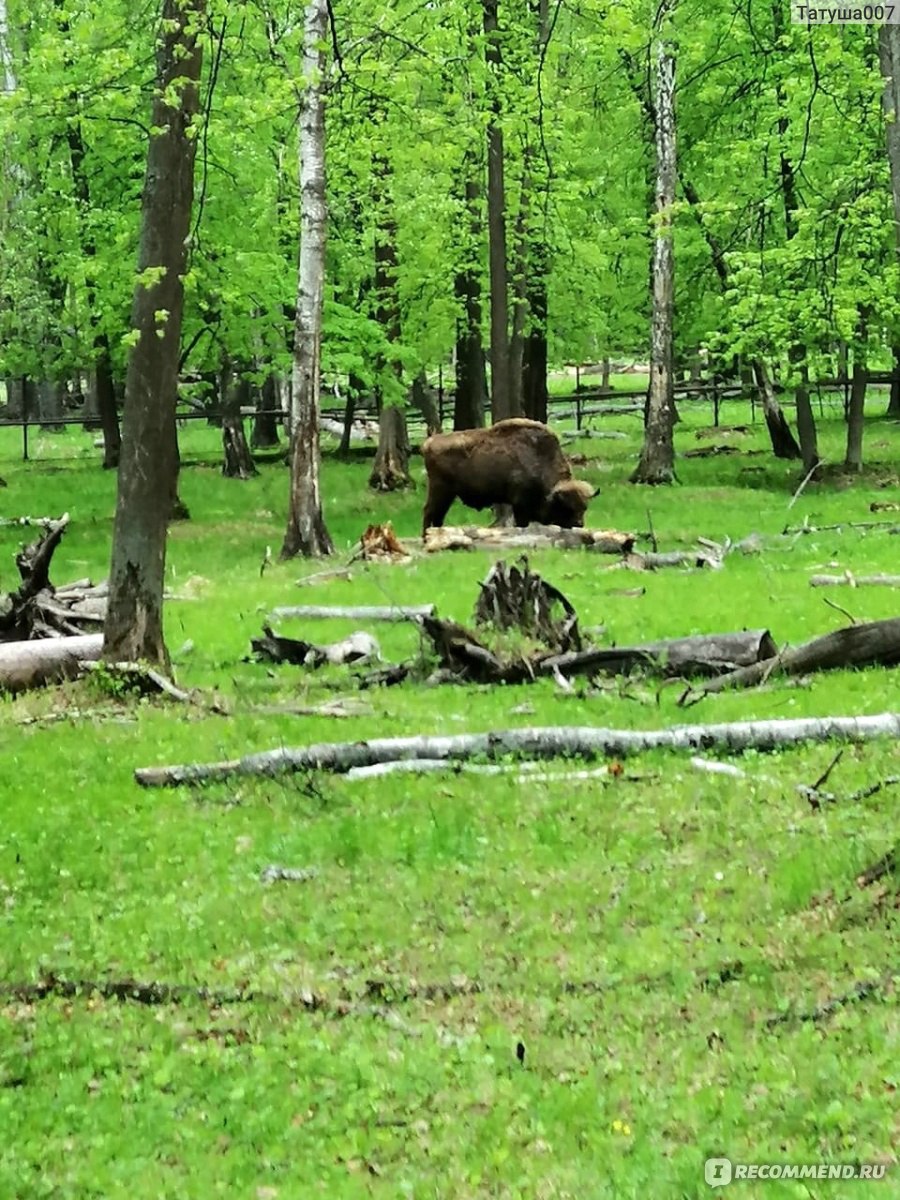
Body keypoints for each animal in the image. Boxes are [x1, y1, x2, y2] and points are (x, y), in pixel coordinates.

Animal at [422, 422, 600, 535]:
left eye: (585, 507)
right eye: (567, 507)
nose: (579, 524)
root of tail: (429, 442)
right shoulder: (520, 505)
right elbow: (522, 524)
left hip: (448, 495)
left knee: (437, 516)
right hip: (440, 490)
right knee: (429, 512)